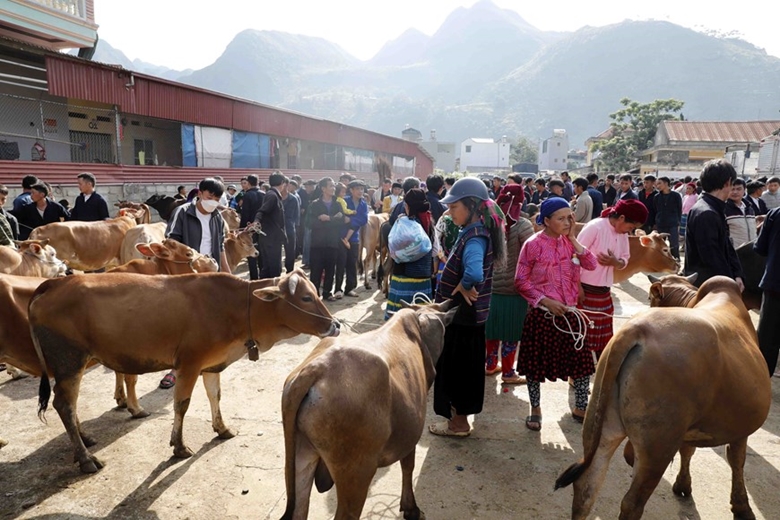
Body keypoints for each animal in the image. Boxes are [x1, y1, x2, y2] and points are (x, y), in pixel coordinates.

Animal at [31, 270, 338, 474]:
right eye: (306, 297)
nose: (335, 325)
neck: (236, 307)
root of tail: (54, 282)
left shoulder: (211, 365)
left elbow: (215, 396)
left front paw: (222, 428)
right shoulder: (188, 364)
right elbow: (182, 404)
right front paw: (178, 446)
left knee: (67, 404)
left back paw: (85, 439)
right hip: (69, 362)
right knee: (64, 405)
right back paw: (85, 458)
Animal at [278, 300, 458, 520]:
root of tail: (316, 368)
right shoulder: (410, 434)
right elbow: (408, 467)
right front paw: (411, 509)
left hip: (301, 456)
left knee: (299, 509)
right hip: (357, 472)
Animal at [556, 274, 772, 516]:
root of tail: (636, 330)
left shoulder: (691, 427)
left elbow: (688, 450)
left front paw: (683, 484)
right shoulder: (739, 429)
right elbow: (736, 460)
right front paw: (741, 506)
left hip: (601, 425)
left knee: (586, 486)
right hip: (658, 446)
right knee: (632, 502)